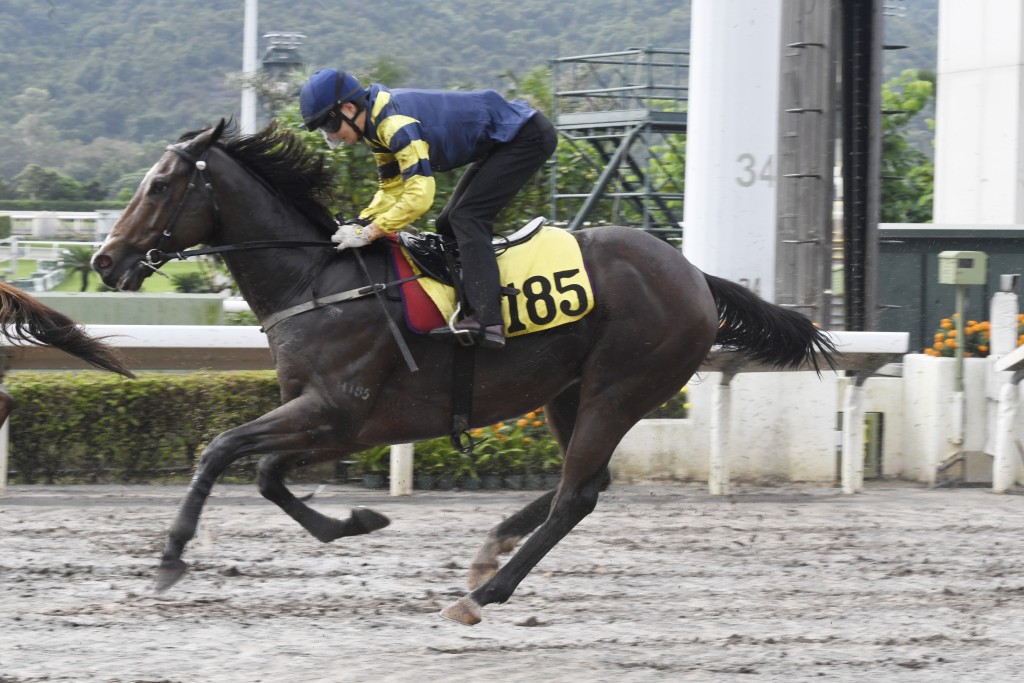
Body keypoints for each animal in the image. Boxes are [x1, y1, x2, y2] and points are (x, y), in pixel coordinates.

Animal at [92, 118, 835, 626]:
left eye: (159, 186)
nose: (104, 260)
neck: (318, 279)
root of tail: (696, 276)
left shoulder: (338, 411)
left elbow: (219, 449)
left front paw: (171, 557)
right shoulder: (330, 421)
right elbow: (268, 475)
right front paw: (358, 520)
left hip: (620, 388)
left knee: (577, 494)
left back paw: (482, 593)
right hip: (568, 392)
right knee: (588, 481)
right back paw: (490, 550)